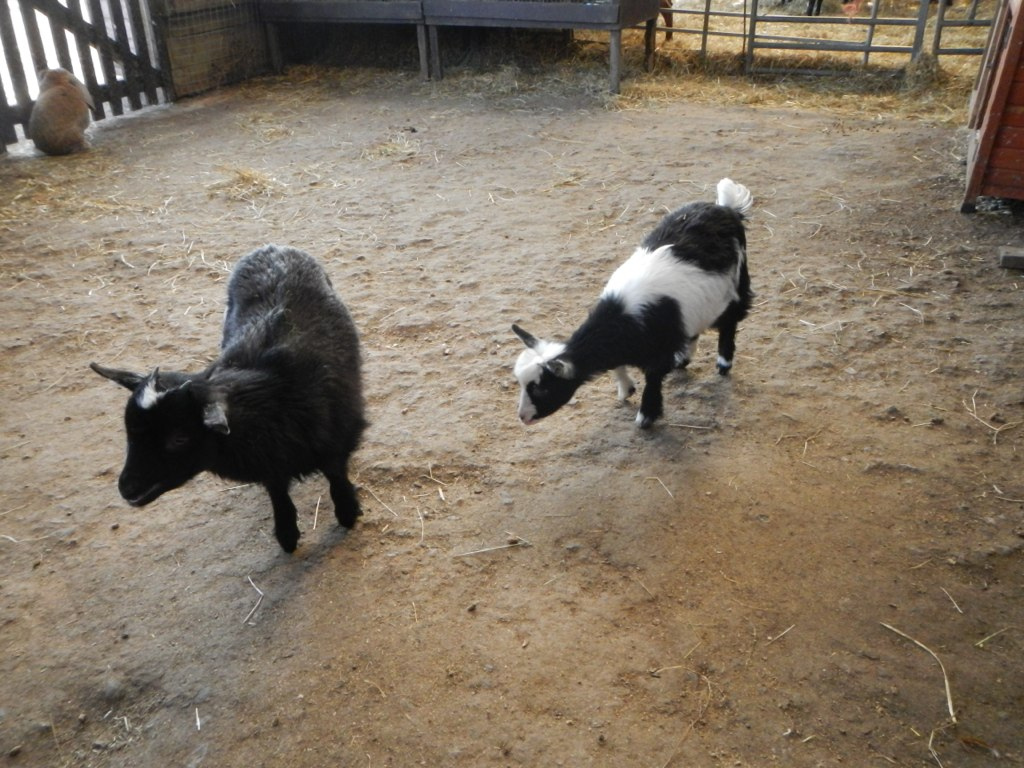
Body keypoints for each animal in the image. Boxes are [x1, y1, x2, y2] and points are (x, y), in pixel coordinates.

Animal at [90, 246, 366, 552]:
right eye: (129, 433)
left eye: (178, 439)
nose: (126, 487)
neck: (276, 399)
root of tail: (273, 247)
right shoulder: (270, 460)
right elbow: (277, 489)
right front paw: (287, 533)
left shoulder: (339, 436)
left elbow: (336, 475)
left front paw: (348, 511)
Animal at [512, 178, 753, 430]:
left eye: (542, 389)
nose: (523, 417)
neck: (621, 318)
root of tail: (726, 208)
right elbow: (618, 366)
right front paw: (626, 388)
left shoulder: (659, 349)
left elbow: (653, 379)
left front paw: (646, 415)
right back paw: (684, 358)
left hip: (737, 281)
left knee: (730, 322)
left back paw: (724, 363)